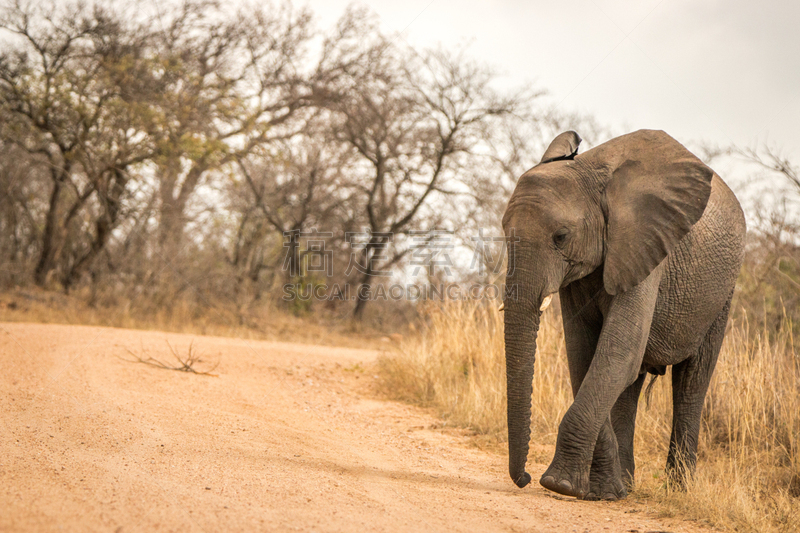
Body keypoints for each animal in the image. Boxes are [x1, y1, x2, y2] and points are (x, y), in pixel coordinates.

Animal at [504, 128, 748, 498]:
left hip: (722, 292)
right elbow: (585, 355)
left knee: (692, 380)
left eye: (561, 237)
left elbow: (618, 352)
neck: (590, 173)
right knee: (632, 385)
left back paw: (679, 490)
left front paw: (561, 485)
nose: (525, 478)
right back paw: (626, 484)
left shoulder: (647, 247)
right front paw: (604, 490)